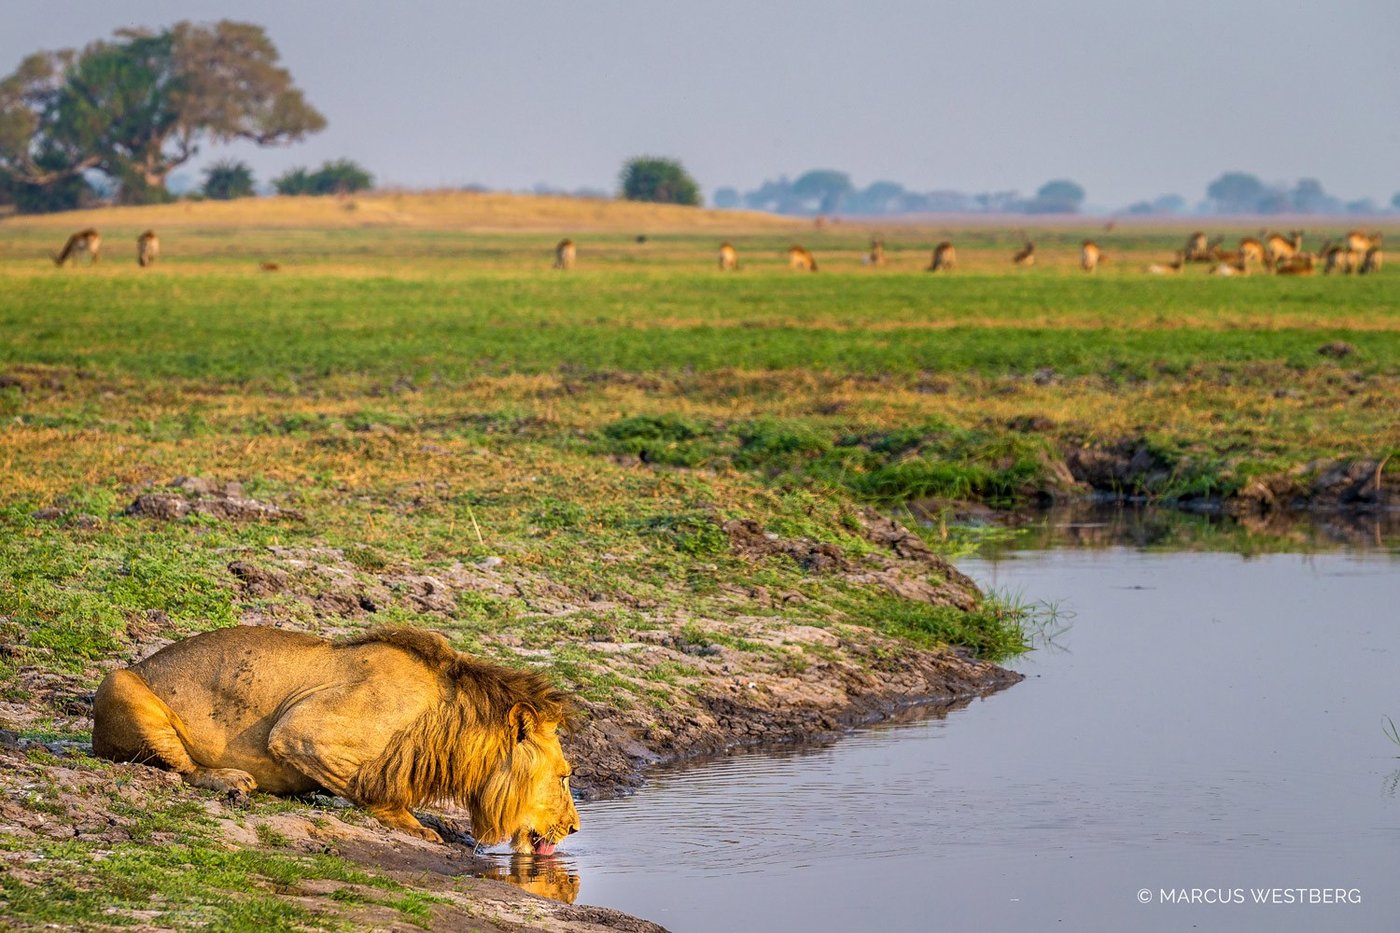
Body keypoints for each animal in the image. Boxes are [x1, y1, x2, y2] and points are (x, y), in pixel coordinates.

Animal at [92, 626, 579, 853]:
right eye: (564, 777)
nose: (575, 828)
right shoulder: (300, 729)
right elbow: (373, 787)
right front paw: (416, 825)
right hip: (119, 682)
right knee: (182, 767)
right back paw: (229, 780)